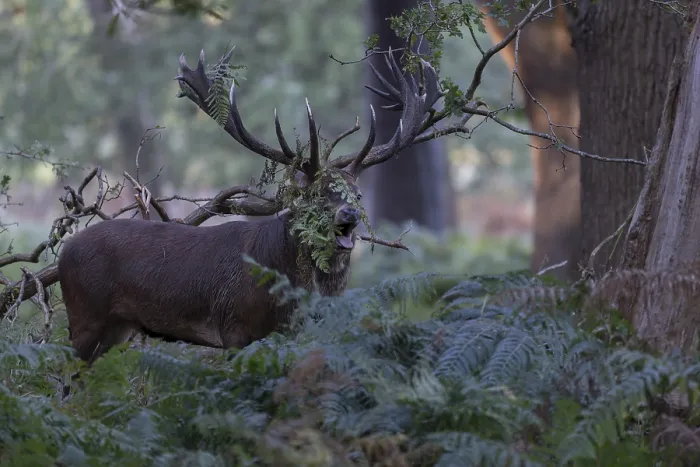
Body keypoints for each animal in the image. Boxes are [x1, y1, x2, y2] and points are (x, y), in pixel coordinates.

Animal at [57, 46, 444, 365]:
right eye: (313, 194)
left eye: (357, 195)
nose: (347, 215)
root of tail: (61, 254)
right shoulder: (233, 329)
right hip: (84, 316)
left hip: (118, 328)